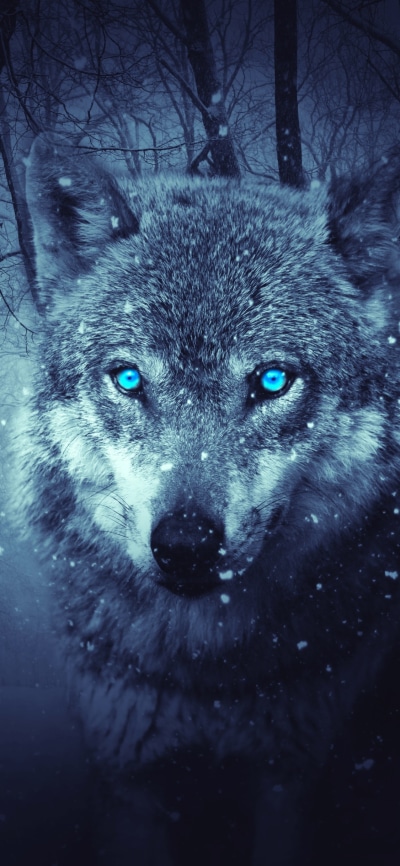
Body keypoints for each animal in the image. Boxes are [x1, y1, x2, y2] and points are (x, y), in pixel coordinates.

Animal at [11, 135, 400, 864]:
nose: (186, 545)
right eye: (128, 379)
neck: (206, 675)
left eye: (272, 380)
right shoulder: (129, 777)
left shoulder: (287, 777)